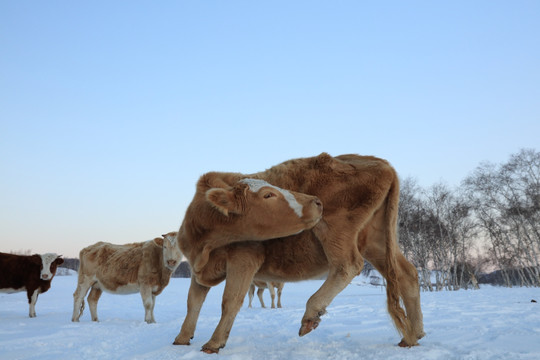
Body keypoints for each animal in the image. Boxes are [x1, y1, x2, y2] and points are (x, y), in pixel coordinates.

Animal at [174, 153, 426, 352]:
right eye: (268, 194)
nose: (316, 202)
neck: (205, 242)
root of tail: (379, 162)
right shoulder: (197, 267)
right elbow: (192, 302)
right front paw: (182, 338)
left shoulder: (244, 259)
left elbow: (230, 301)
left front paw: (214, 342)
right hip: (376, 241)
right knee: (407, 274)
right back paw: (413, 335)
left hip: (336, 229)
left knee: (348, 264)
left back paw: (311, 312)